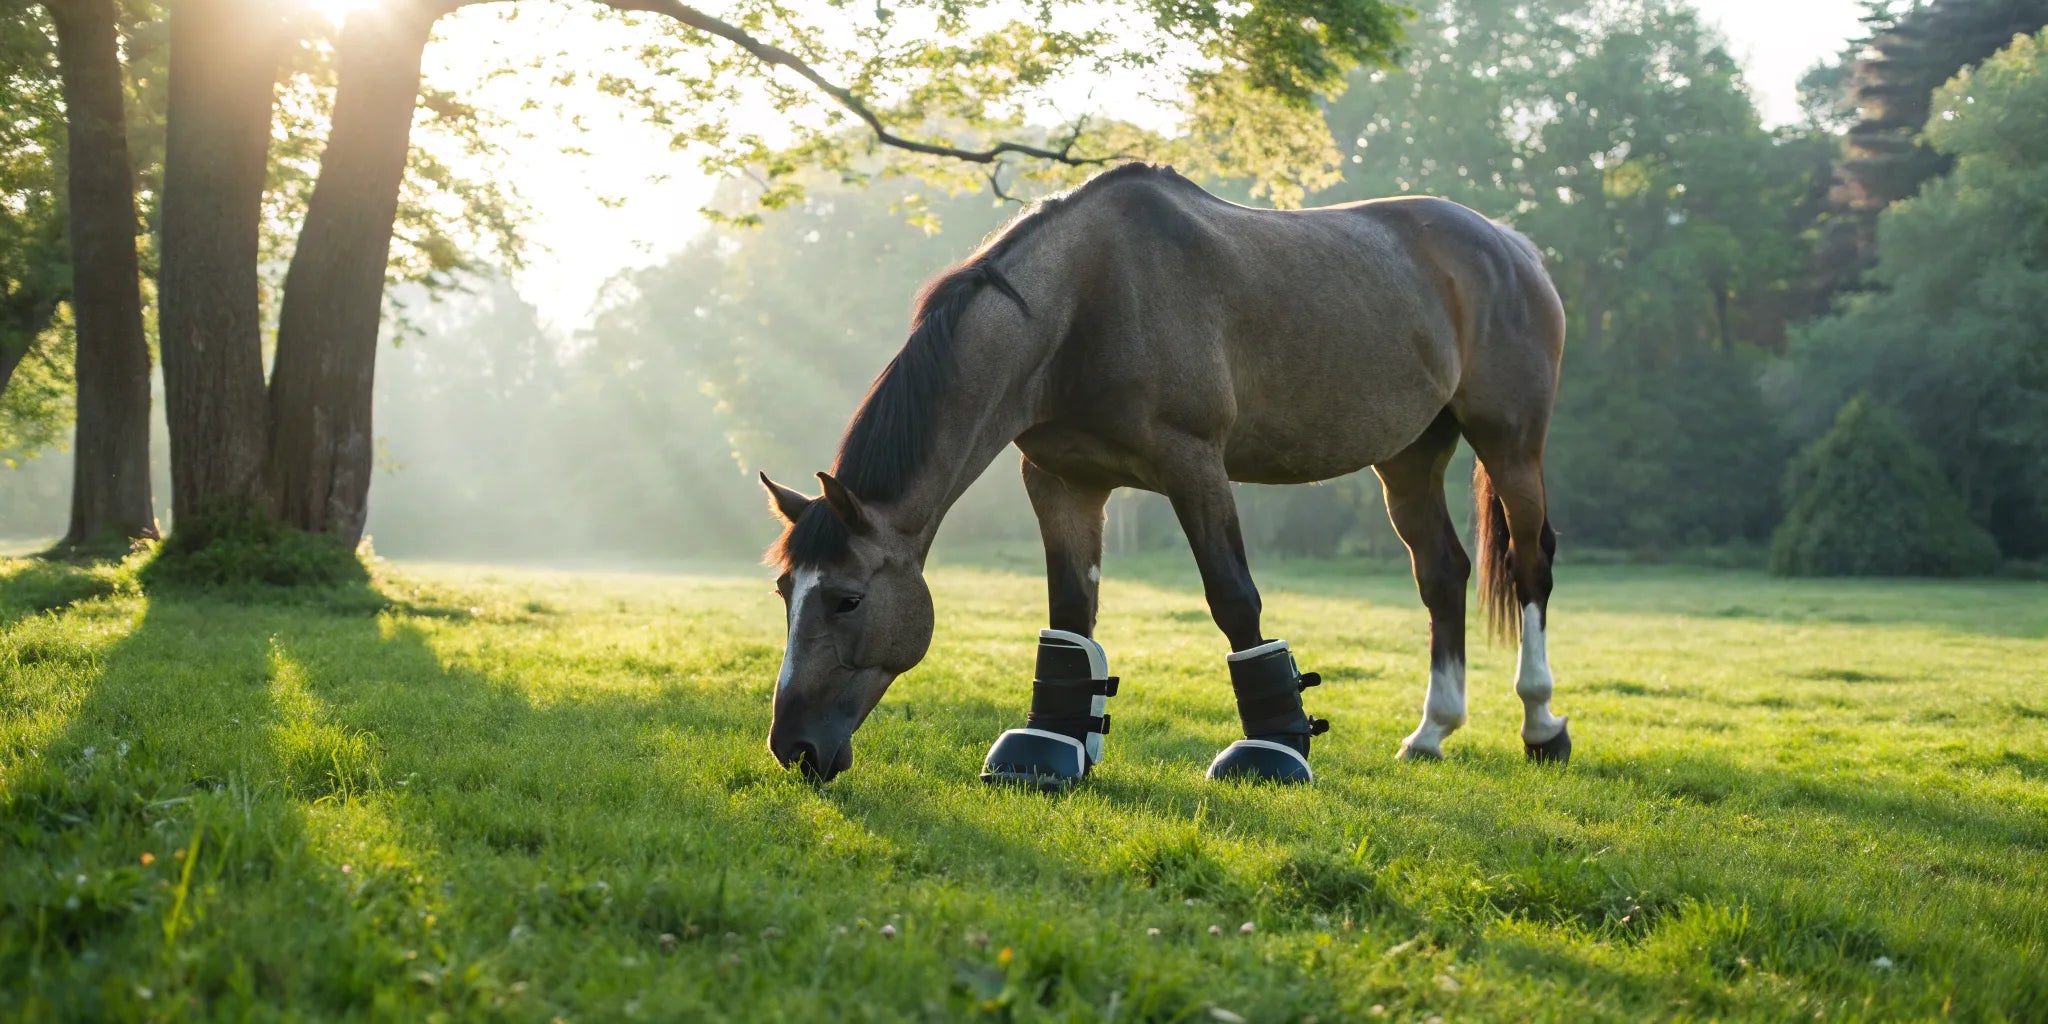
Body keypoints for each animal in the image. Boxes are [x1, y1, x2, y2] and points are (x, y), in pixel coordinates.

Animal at [758, 162, 1568, 787]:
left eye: (847, 600)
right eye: (784, 594)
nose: (793, 747)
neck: (1084, 303)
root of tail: (1513, 245)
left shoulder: (1195, 465)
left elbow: (1235, 601)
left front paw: (1274, 748)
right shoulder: (1061, 481)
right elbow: (1071, 614)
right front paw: (1053, 748)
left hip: (1511, 442)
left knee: (1530, 565)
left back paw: (1541, 726)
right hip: (1408, 457)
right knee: (1442, 573)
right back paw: (1431, 733)